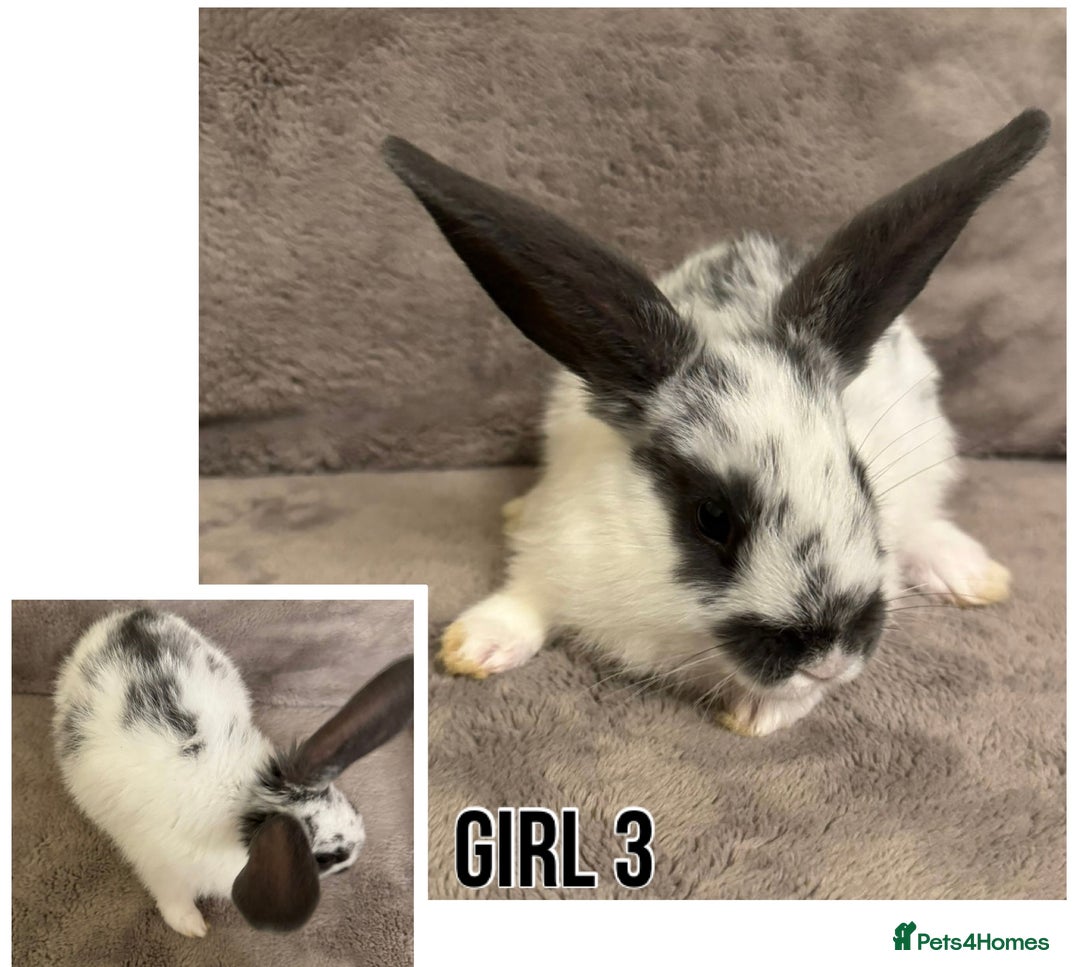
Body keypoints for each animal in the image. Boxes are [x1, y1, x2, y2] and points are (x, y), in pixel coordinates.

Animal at [53, 608, 413, 936]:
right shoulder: (162, 870)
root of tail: (131, 615)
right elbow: (173, 900)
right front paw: (193, 928)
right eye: (323, 859)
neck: (246, 799)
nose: (358, 852)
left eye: (346, 800)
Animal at [382, 108, 1049, 737]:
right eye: (712, 518)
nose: (829, 656)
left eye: (862, 483)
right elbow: (527, 595)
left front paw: (759, 714)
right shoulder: (561, 543)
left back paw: (971, 574)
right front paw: (474, 646)